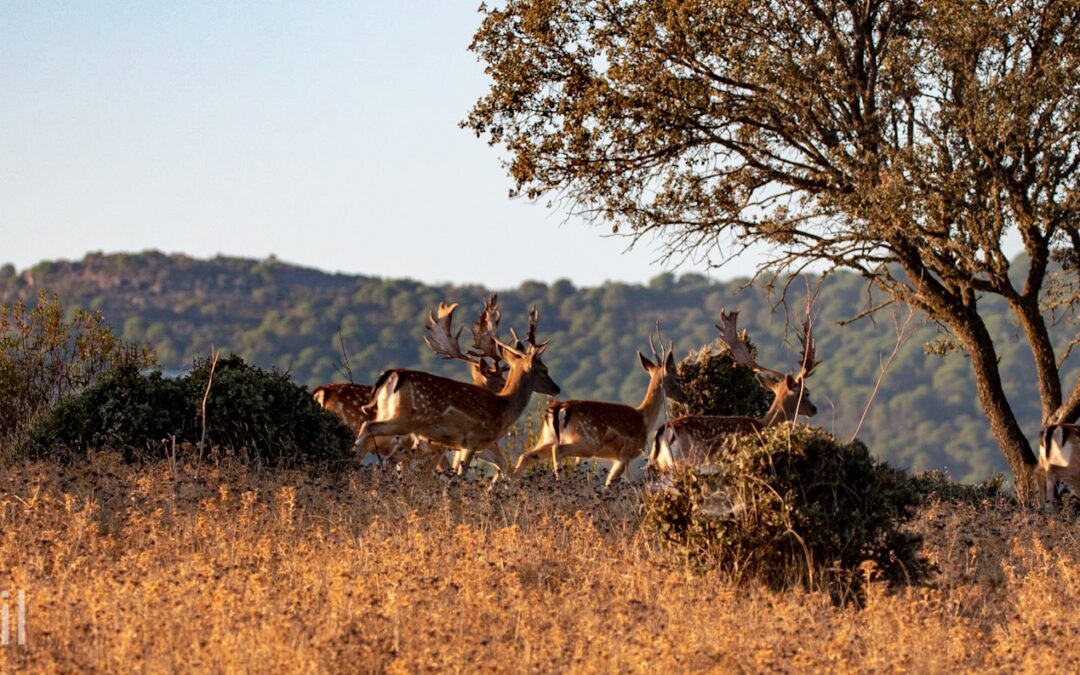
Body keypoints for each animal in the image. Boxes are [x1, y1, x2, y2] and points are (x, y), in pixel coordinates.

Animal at [356, 300, 561, 479]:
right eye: (544, 370)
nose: (556, 388)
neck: (504, 407)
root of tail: (390, 375)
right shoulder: (473, 440)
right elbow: (461, 476)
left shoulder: (461, 445)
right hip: (404, 419)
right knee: (369, 429)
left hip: (388, 415)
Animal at [511, 332, 682, 486]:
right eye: (677, 378)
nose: (683, 396)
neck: (644, 419)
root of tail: (557, 409)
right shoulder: (625, 455)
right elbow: (609, 484)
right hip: (587, 441)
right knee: (557, 450)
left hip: (546, 437)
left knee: (525, 456)